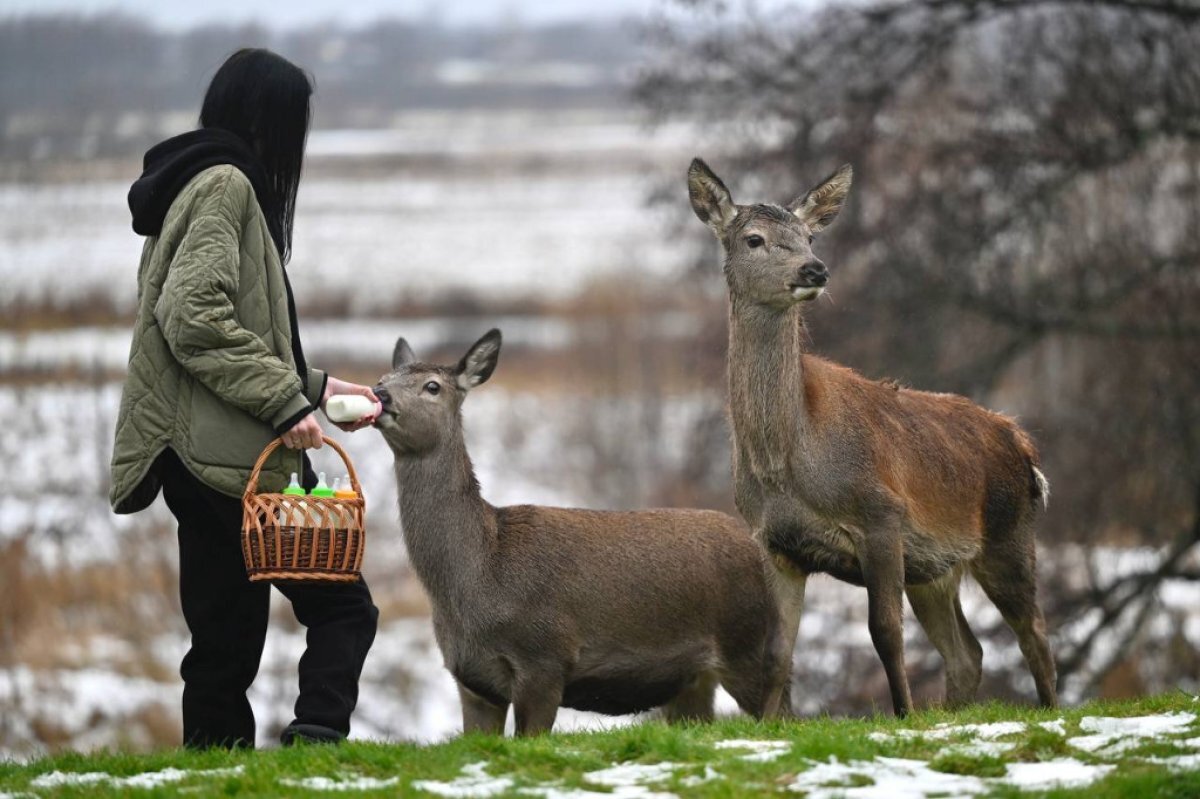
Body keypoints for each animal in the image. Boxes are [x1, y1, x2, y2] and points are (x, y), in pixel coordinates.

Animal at [691, 158, 1056, 710]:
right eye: (754, 239)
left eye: (809, 237)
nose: (814, 269)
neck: (787, 464)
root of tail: (1023, 444)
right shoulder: (776, 544)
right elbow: (777, 654)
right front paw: (773, 722)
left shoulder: (882, 515)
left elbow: (884, 633)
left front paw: (903, 715)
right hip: (936, 567)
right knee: (968, 653)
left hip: (1008, 532)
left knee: (1034, 632)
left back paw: (1049, 708)